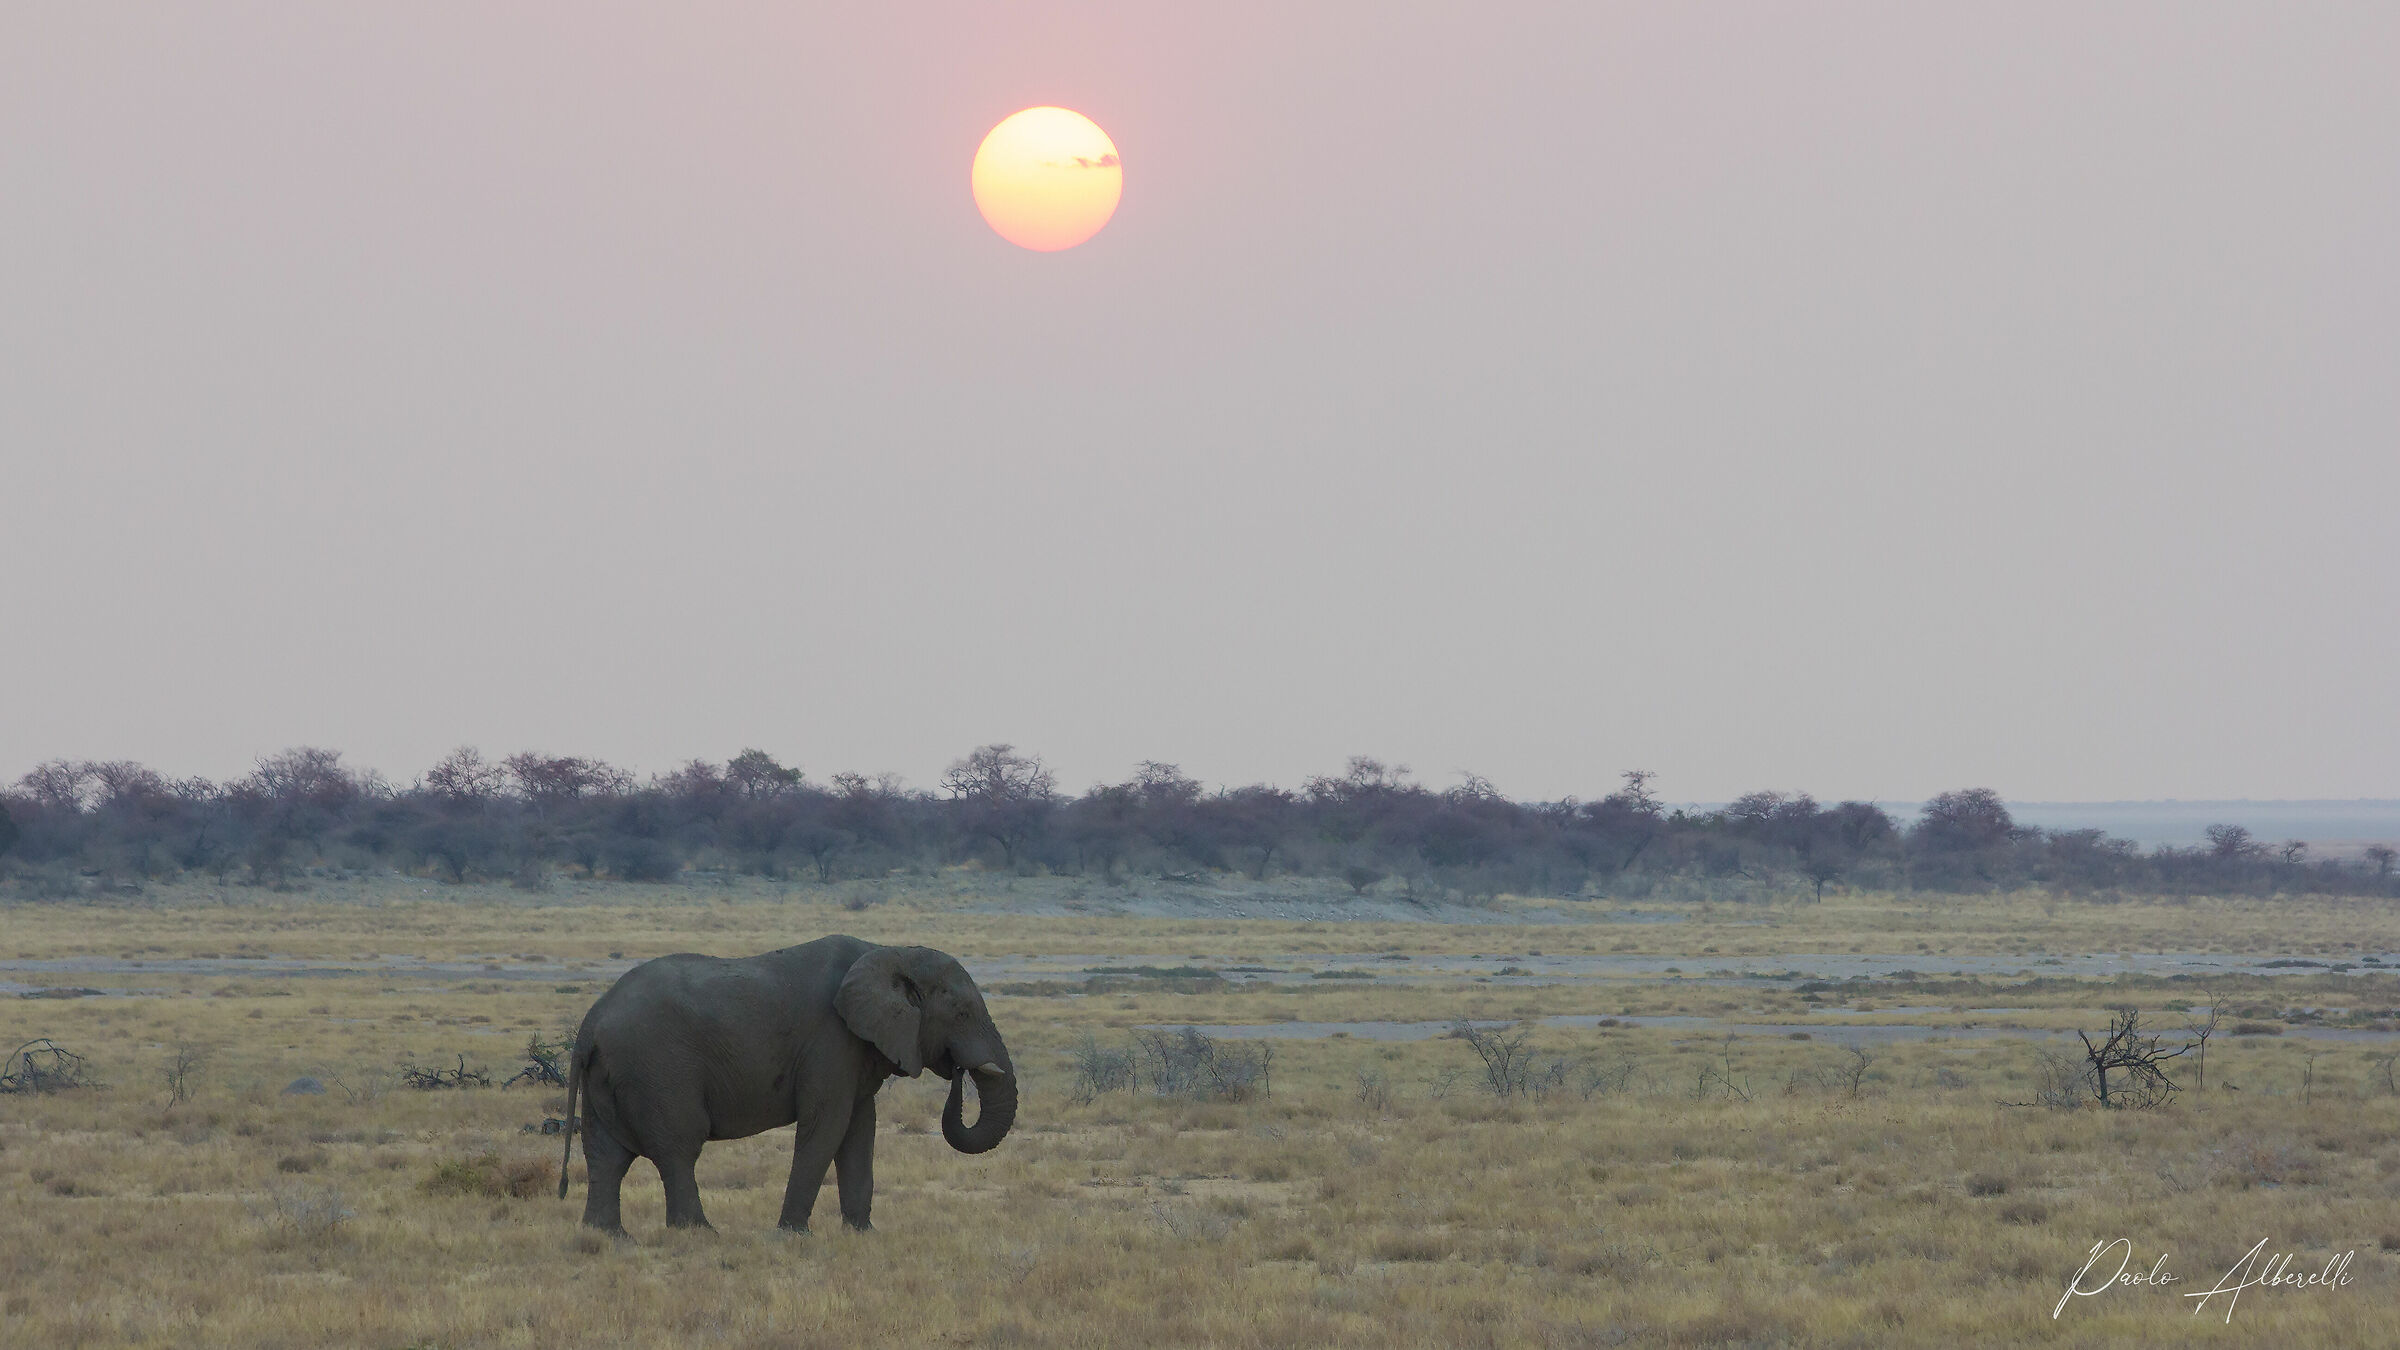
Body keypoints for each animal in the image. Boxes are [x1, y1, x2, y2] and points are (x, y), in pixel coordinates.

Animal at [557, 935, 1016, 1234]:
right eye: (961, 1013)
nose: (958, 1071)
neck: (891, 951)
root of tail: (589, 1024)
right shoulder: (832, 1041)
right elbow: (826, 1127)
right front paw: (792, 1234)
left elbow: (859, 1131)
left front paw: (862, 1233)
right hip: (657, 1069)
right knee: (677, 1148)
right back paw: (701, 1234)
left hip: (610, 1075)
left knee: (607, 1154)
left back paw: (607, 1237)